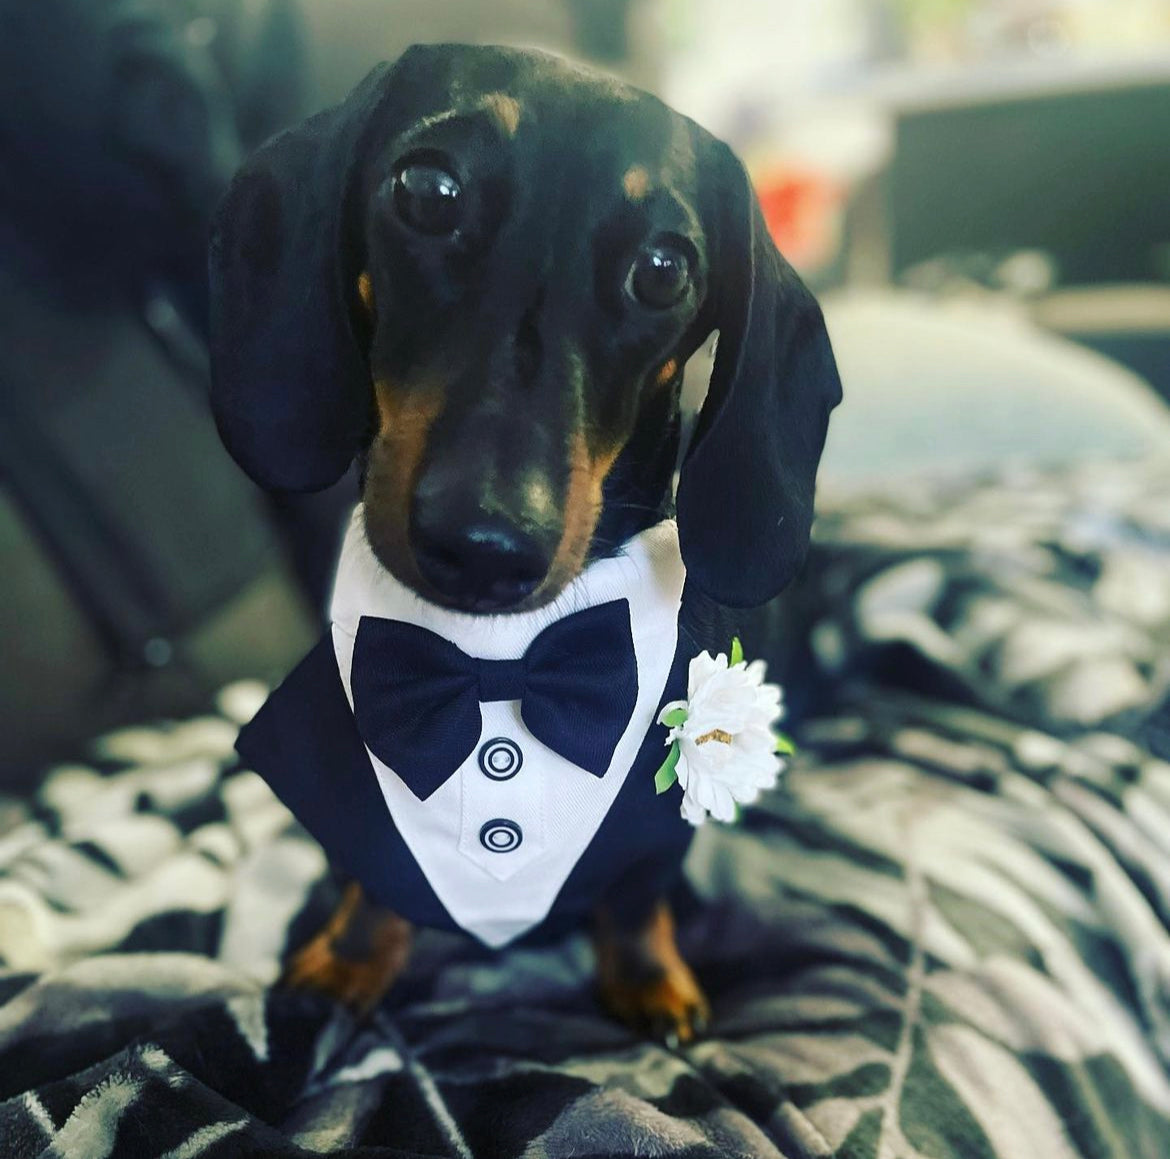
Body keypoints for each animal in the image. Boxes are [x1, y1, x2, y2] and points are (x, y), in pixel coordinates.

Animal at [210, 42, 842, 1043]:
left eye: (665, 269)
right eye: (427, 190)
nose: (484, 544)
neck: (499, 654)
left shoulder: (656, 833)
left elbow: (634, 892)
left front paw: (649, 976)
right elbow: (373, 875)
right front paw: (347, 959)